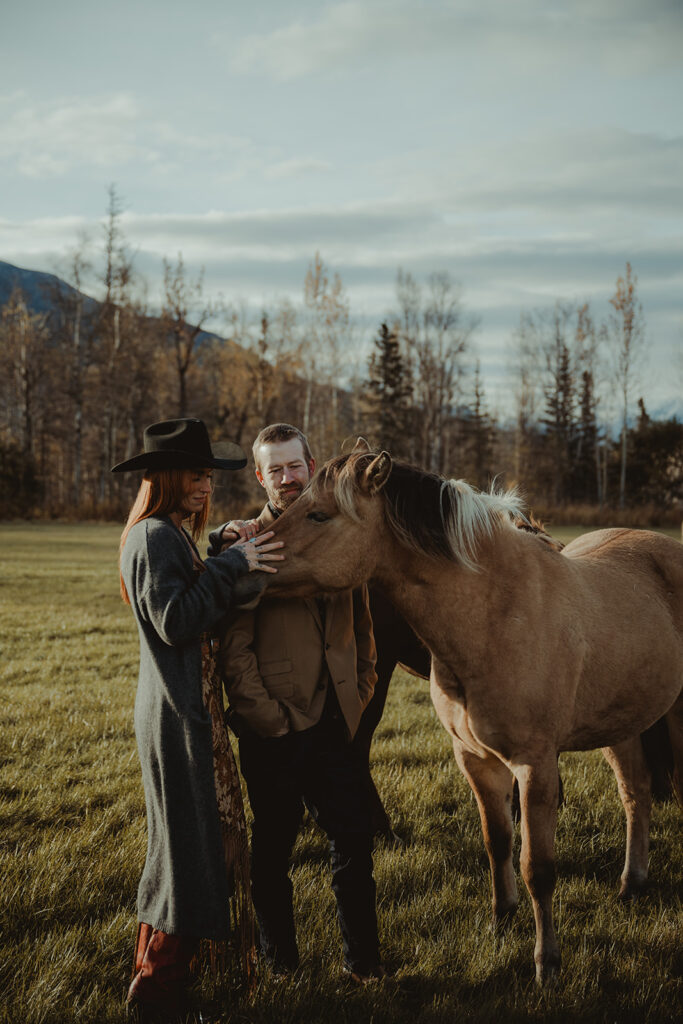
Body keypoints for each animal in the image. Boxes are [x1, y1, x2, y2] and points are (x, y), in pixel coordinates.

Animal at [264, 442, 679, 983]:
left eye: (318, 513)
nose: (244, 559)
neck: (494, 615)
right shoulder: (476, 760)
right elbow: (497, 841)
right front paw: (501, 922)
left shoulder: (535, 765)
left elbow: (537, 867)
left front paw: (547, 962)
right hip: (622, 724)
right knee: (636, 793)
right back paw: (632, 883)